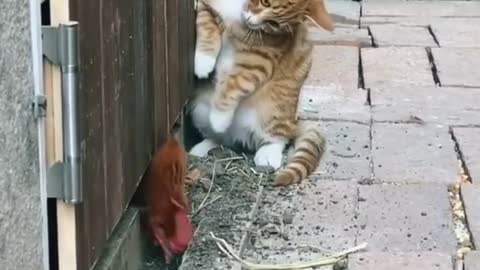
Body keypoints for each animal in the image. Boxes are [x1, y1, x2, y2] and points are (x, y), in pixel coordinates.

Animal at [190, 0, 334, 186]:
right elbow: (206, 27)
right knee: (220, 139)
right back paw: (201, 148)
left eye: (273, 24)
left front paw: (219, 118)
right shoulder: (207, 7)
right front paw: (203, 62)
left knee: (279, 139)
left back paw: (267, 155)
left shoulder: (259, 60)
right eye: (263, 2)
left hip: (275, 113)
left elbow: (235, 83)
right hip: (199, 111)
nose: (250, 21)